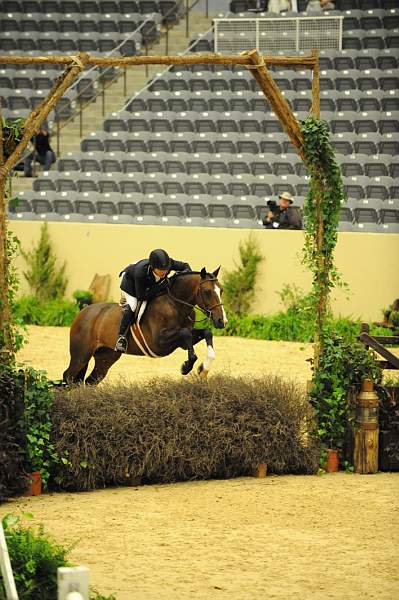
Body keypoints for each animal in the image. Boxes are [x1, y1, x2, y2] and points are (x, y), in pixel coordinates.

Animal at [61, 268, 225, 384]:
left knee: (89, 381)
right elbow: (185, 333)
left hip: (106, 358)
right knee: (68, 376)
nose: (221, 321)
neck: (175, 304)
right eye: (207, 292)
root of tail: (82, 312)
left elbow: (206, 332)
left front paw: (203, 369)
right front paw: (186, 367)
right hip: (81, 355)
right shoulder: (159, 344)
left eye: (221, 290)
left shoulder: (182, 342)